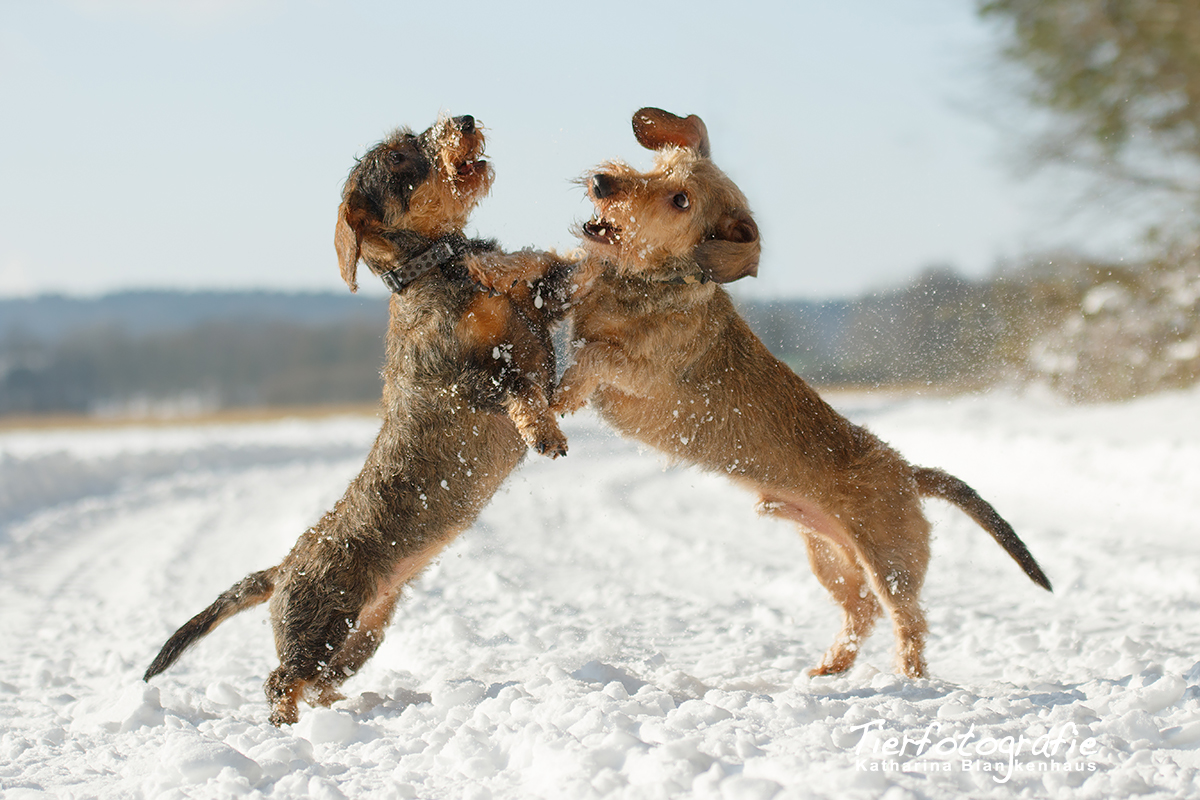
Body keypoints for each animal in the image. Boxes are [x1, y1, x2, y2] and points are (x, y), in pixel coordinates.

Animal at [145, 113, 576, 724]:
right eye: (395, 157)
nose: (465, 120)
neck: (443, 269)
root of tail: (282, 568)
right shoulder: (457, 380)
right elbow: (517, 386)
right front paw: (544, 432)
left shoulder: (537, 310)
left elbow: (552, 276)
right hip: (322, 624)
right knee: (280, 680)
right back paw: (287, 725)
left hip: (363, 635)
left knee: (319, 679)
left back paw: (337, 706)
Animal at [552, 106, 1051, 681]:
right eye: (657, 166)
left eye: (681, 200)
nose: (602, 182)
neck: (649, 283)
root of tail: (908, 471)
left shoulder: (640, 372)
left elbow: (596, 356)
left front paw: (560, 395)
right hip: (827, 557)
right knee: (861, 611)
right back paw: (830, 666)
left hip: (890, 563)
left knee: (908, 620)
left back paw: (910, 680)